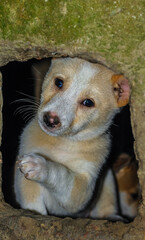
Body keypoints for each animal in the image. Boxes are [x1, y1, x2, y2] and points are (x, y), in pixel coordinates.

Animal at [14, 57, 130, 218]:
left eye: (88, 102)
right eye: (59, 82)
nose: (50, 120)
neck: (64, 143)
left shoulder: (82, 190)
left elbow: (62, 174)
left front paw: (41, 166)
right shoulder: (26, 183)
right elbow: (34, 207)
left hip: (108, 180)